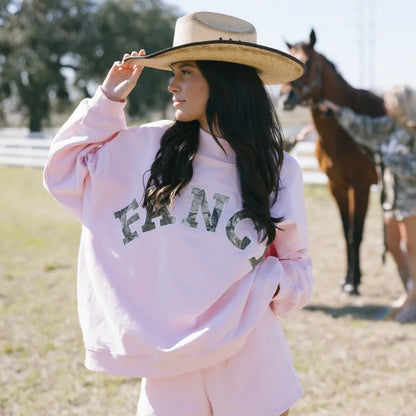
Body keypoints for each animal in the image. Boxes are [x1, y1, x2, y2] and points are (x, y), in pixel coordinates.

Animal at [282, 29, 386, 294]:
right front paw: (348, 279)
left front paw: (353, 285)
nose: (286, 98)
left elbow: (355, 235)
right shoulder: (337, 187)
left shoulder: (360, 188)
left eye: (307, 63)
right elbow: (345, 234)